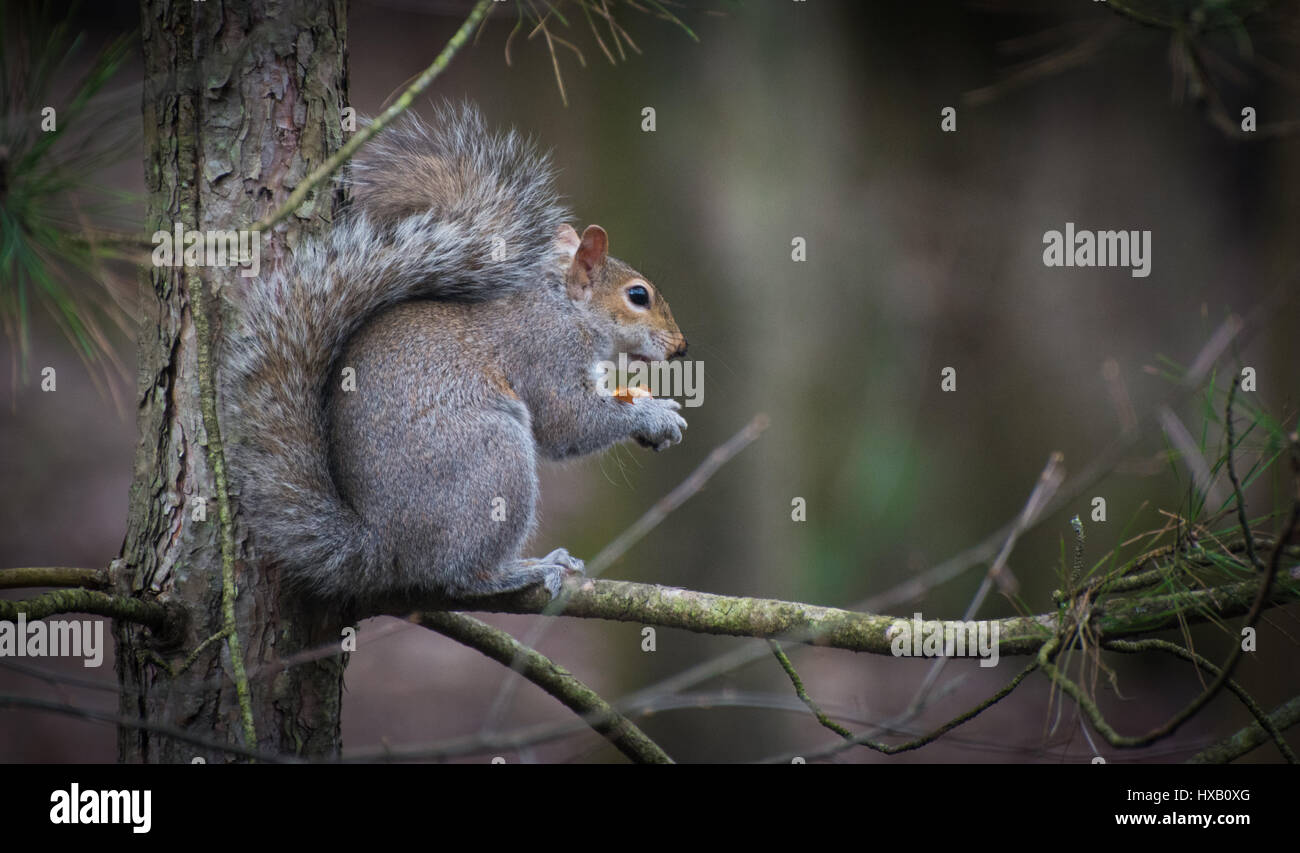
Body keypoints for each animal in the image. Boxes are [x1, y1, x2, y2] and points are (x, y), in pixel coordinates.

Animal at [220, 103, 691, 603]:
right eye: (638, 296)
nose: (683, 347)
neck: (565, 307)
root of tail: (381, 547)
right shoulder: (545, 353)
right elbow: (569, 422)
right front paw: (655, 417)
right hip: (494, 463)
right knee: (461, 577)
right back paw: (528, 568)